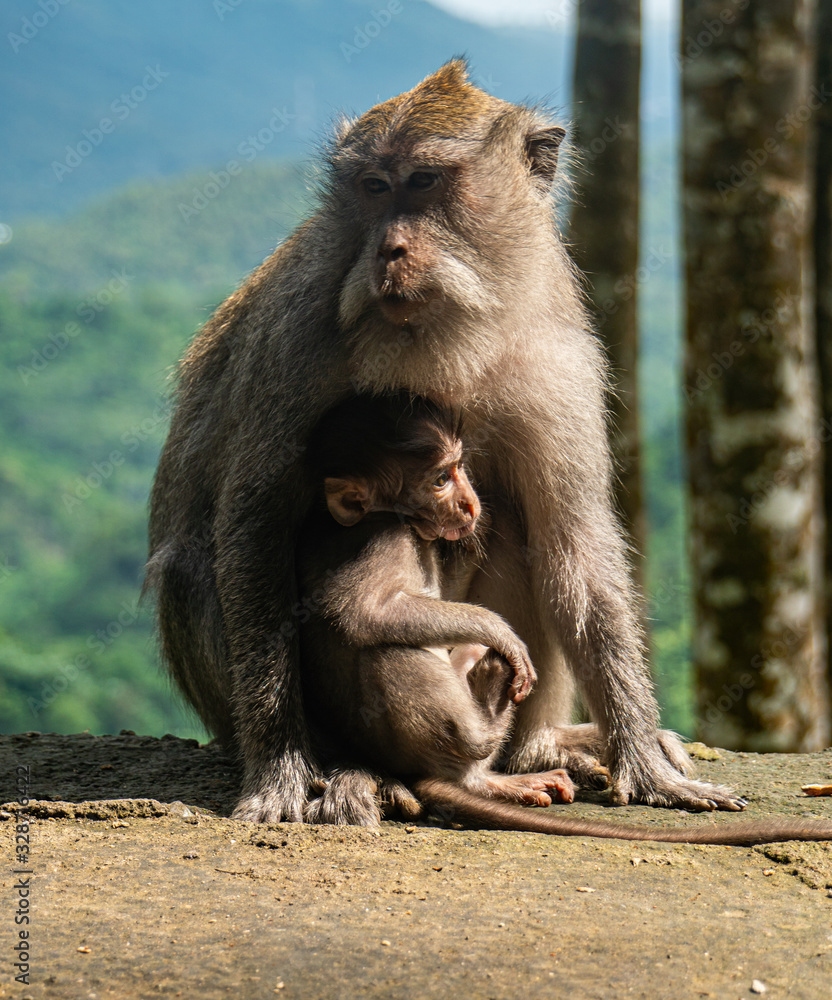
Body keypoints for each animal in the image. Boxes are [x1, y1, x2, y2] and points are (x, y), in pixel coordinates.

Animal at [148, 60, 748, 820]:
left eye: (426, 181)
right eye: (375, 187)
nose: (390, 248)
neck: (444, 332)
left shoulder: (559, 361)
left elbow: (575, 547)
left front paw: (644, 762)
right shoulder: (295, 337)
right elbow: (255, 527)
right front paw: (280, 767)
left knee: (523, 529)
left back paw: (539, 748)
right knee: (193, 568)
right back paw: (359, 769)